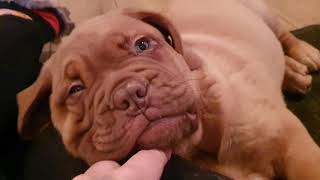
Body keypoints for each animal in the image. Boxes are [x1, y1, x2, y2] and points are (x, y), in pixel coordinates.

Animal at [16, 0, 320, 179]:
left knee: (282, 35)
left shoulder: (294, 145)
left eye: (142, 44)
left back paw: (304, 55)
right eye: (76, 89)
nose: (129, 94)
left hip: (261, 12)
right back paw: (294, 76)